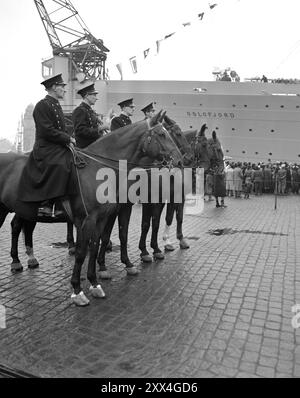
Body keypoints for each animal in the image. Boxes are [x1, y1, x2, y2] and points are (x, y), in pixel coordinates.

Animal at [0, 110, 183, 306]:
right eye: (163, 134)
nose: (181, 161)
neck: (99, 169)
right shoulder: (88, 219)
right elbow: (83, 252)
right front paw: (77, 290)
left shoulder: (103, 217)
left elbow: (97, 246)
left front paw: (95, 283)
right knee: (17, 227)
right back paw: (18, 261)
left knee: (21, 226)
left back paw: (24, 259)